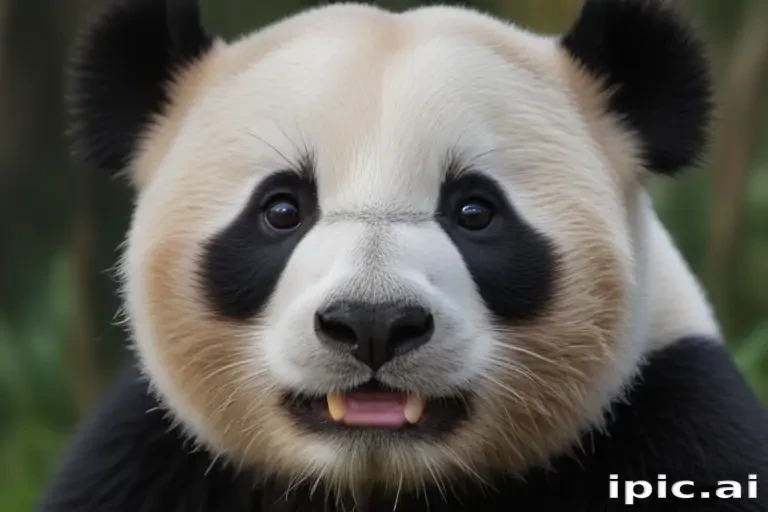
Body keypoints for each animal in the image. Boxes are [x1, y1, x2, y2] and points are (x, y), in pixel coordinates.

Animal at [40, 0, 768, 510]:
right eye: (281, 209)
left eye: (475, 211)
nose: (373, 323)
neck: (382, 480)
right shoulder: (149, 462)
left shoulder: (678, 421)